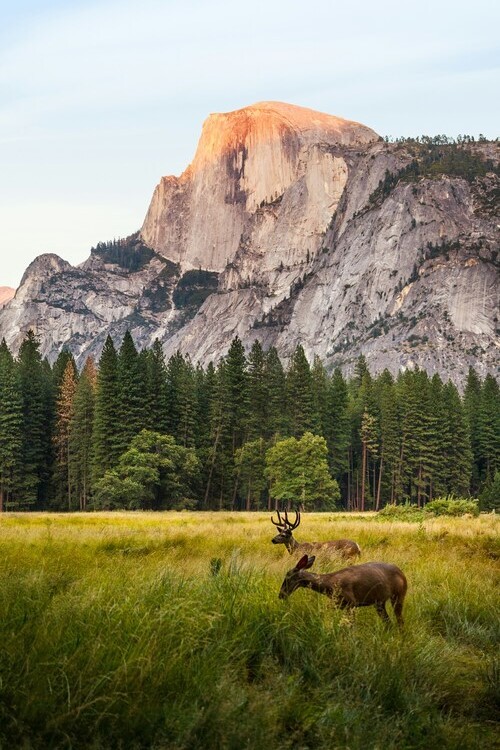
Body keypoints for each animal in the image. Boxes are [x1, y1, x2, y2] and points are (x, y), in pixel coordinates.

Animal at [278, 554, 407, 627]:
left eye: (287, 576)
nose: (281, 595)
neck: (330, 585)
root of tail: (402, 573)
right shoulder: (337, 604)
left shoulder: (352, 602)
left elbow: (351, 627)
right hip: (379, 602)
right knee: (388, 622)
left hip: (399, 595)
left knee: (400, 621)